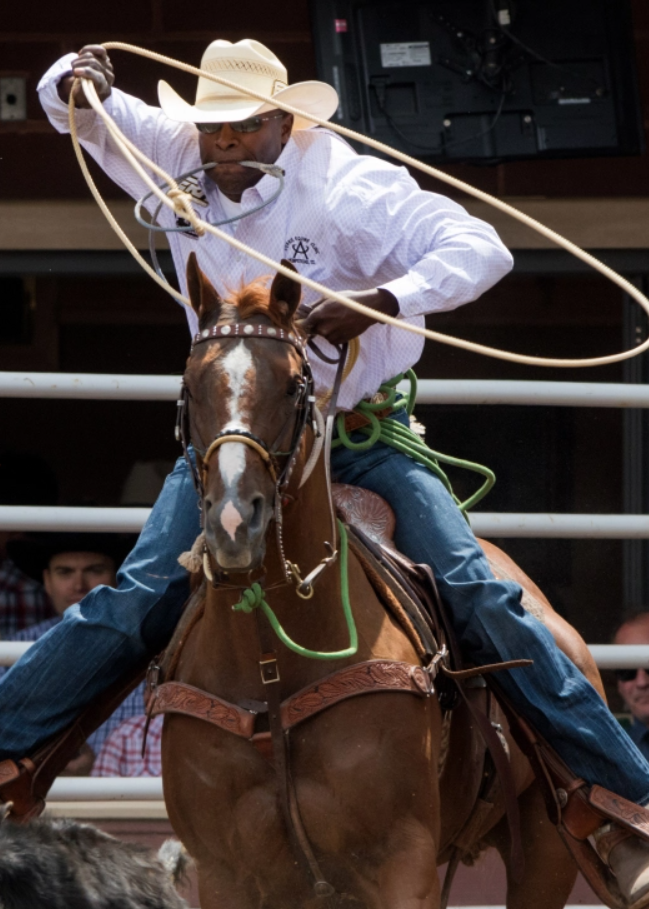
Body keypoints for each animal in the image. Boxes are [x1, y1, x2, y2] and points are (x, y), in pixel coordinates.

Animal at [159, 254, 596, 908]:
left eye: (294, 383)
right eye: (190, 386)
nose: (235, 522)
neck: (271, 667)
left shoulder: (403, 861)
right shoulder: (224, 874)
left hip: (546, 848)